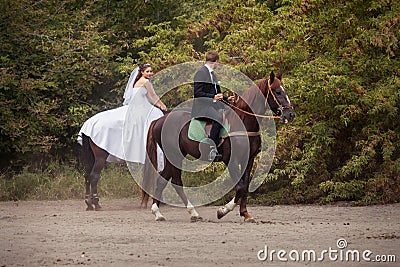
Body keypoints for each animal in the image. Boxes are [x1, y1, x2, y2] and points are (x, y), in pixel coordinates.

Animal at [143, 71, 294, 222]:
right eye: (278, 92)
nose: (291, 114)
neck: (243, 123)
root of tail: (159, 120)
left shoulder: (249, 159)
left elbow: (245, 187)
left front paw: (245, 214)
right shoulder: (232, 160)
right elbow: (240, 187)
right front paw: (223, 210)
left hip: (173, 156)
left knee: (163, 180)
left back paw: (158, 213)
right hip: (174, 155)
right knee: (176, 182)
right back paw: (192, 213)